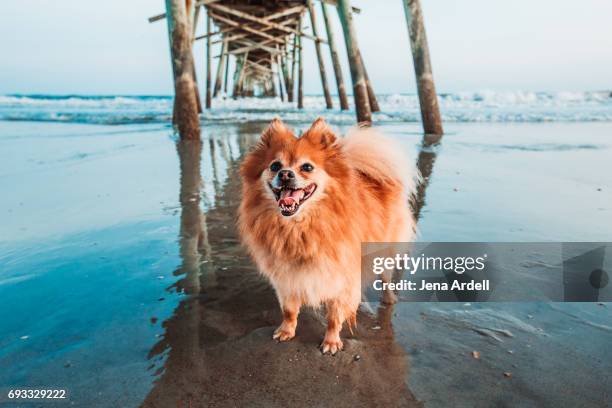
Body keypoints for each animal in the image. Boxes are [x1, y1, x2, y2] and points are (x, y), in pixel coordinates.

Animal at [237, 118, 414, 354]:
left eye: (307, 167)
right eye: (275, 166)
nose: (285, 174)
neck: (299, 229)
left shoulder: (341, 276)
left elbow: (334, 316)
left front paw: (331, 341)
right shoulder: (285, 275)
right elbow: (289, 309)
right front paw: (287, 330)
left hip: (383, 252)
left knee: (385, 277)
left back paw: (389, 298)